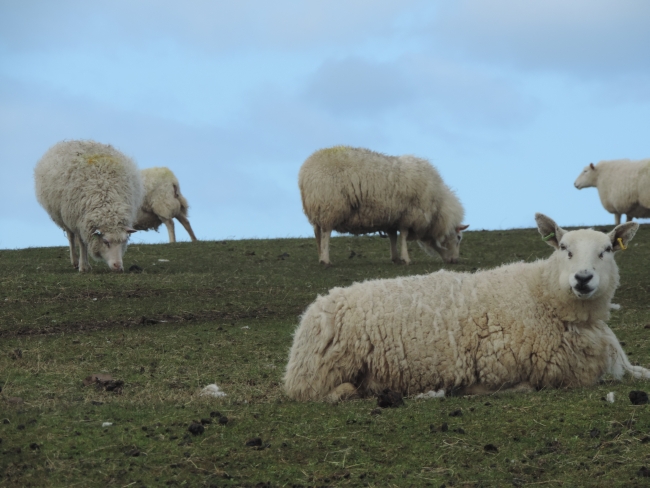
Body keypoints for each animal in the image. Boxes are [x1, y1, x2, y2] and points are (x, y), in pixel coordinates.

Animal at [33, 139, 143, 272]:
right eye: (105, 242)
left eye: (124, 241)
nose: (118, 266)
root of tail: (71, 140)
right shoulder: (79, 222)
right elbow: (82, 243)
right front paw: (83, 266)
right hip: (65, 217)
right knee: (70, 237)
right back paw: (75, 261)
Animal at [282, 213, 644, 400]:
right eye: (564, 248)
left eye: (607, 250)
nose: (583, 279)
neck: (543, 297)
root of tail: (315, 307)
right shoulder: (497, 366)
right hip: (320, 373)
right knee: (318, 392)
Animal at [298, 146, 466, 266]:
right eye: (458, 238)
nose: (455, 261)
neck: (438, 206)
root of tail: (304, 174)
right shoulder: (408, 215)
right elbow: (403, 236)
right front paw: (406, 258)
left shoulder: (392, 218)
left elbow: (393, 237)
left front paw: (395, 258)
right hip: (330, 206)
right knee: (326, 234)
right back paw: (326, 260)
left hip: (318, 208)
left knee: (318, 234)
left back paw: (320, 257)